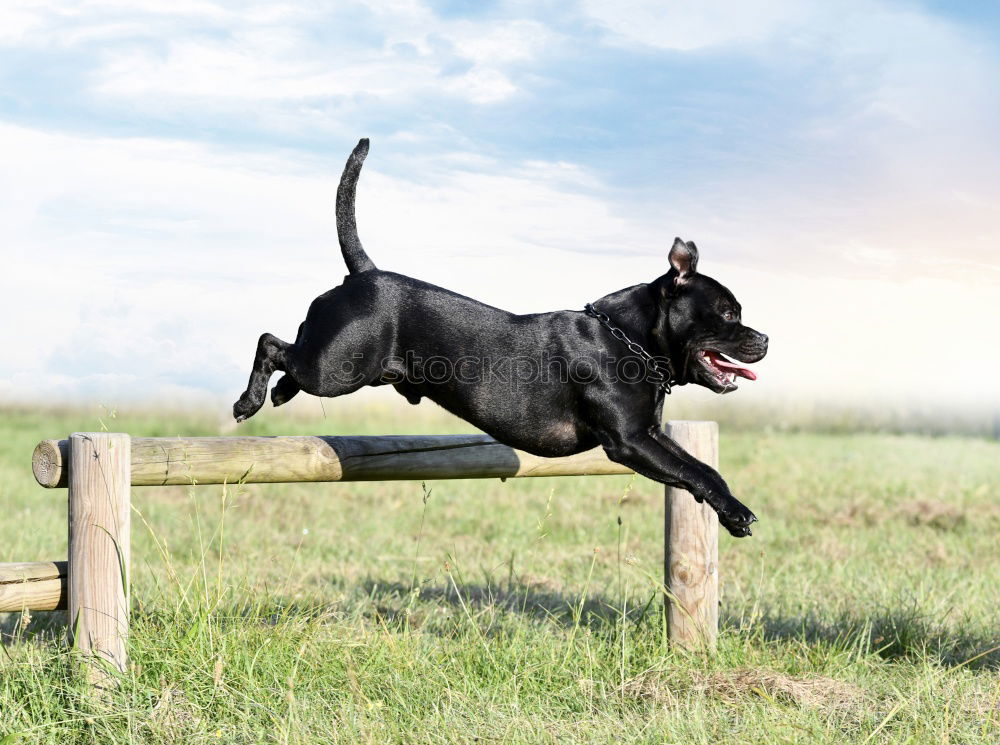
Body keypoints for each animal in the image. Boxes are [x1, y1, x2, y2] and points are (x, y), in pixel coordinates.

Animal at [234, 140, 764, 536]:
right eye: (728, 313)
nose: (764, 339)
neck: (628, 339)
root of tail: (364, 275)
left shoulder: (650, 434)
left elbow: (702, 468)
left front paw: (731, 509)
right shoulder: (629, 441)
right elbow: (692, 470)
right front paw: (735, 512)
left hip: (335, 363)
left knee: (290, 352)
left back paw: (278, 394)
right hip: (338, 369)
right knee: (271, 343)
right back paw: (248, 401)